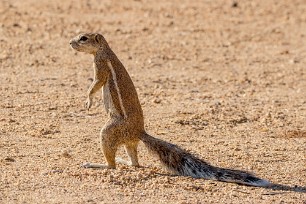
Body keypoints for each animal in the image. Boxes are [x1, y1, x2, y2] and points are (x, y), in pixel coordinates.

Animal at [68, 32, 270, 186]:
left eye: (83, 38)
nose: (70, 42)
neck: (104, 49)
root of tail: (139, 132)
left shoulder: (100, 65)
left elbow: (95, 84)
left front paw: (88, 101)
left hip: (109, 131)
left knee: (113, 165)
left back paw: (97, 164)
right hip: (127, 141)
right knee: (135, 163)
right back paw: (123, 160)